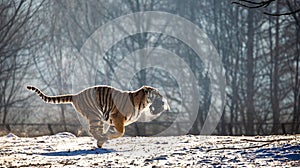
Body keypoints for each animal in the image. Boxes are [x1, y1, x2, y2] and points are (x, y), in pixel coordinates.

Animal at [27, 85, 170, 147]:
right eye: (157, 93)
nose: (164, 98)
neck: (142, 103)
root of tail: (76, 95)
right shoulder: (117, 117)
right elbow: (121, 132)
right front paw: (107, 137)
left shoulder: (112, 120)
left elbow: (114, 131)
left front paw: (106, 137)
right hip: (95, 114)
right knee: (92, 129)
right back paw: (101, 140)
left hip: (99, 117)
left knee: (95, 130)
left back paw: (100, 140)